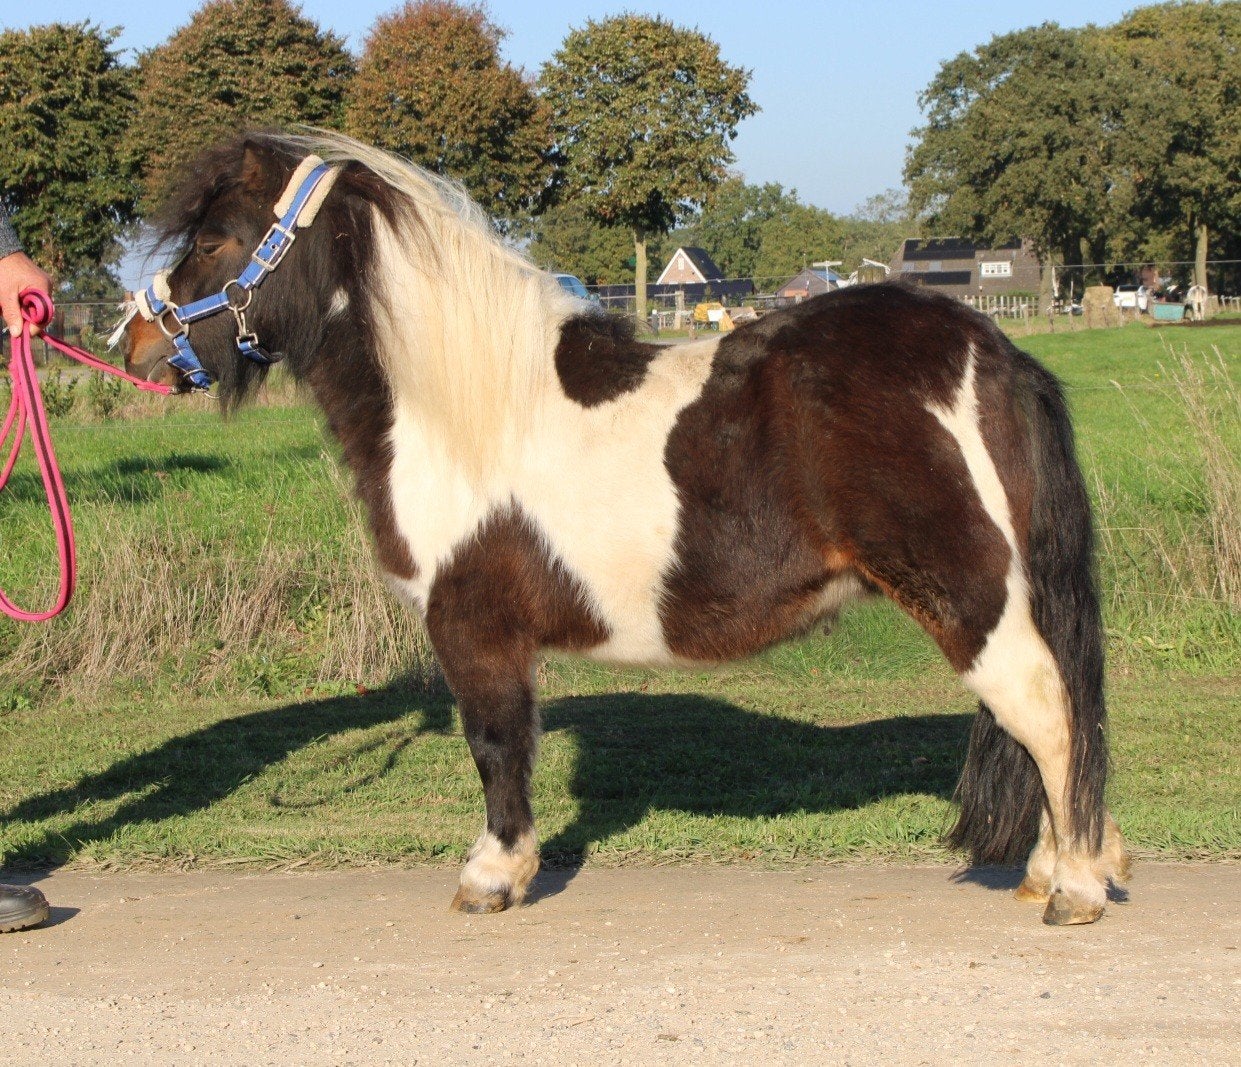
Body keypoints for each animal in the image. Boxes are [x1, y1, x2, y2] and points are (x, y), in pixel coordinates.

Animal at [124, 131, 1129, 925]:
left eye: (214, 238)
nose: (131, 343)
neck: (467, 406)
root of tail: (990, 352)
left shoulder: (471, 625)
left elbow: (495, 745)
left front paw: (493, 876)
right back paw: (1057, 869)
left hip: (971, 598)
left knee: (1046, 712)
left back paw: (1076, 887)